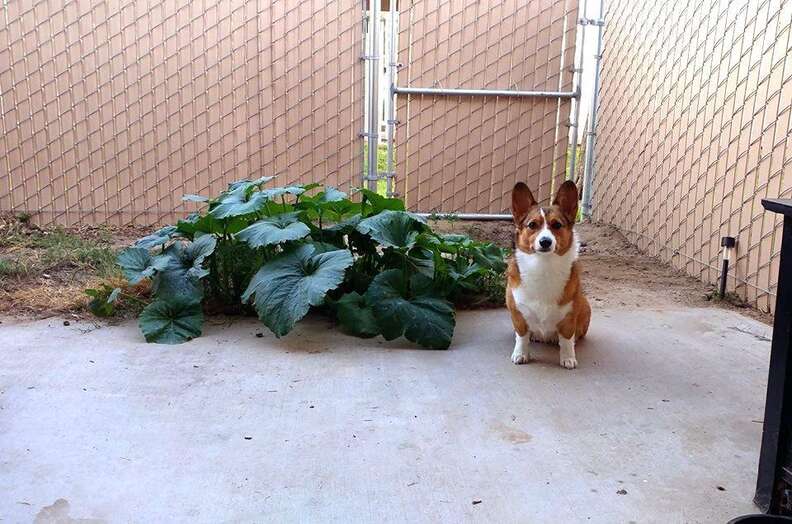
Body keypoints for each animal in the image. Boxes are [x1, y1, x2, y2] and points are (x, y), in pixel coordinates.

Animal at [504, 180, 592, 368]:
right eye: (532, 225)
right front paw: (520, 354)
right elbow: (521, 337)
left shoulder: (569, 316)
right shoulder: (517, 314)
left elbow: (566, 340)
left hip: (585, 306)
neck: (543, 266)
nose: (545, 241)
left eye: (557, 225)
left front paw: (568, 358)